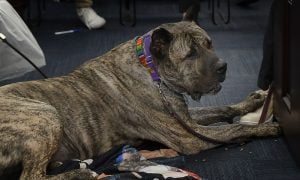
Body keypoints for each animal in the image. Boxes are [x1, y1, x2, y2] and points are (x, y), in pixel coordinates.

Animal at [1, 12, 280, 180]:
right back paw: (79, 173)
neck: (152, 69)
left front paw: (253, 102)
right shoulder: (190, 137)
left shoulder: (184, 118)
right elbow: (234, 129)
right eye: (190, 54)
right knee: (31, 177)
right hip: (45, 115)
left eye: (209, 43)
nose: (223, 66)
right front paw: (267, 128)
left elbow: (223, 109)